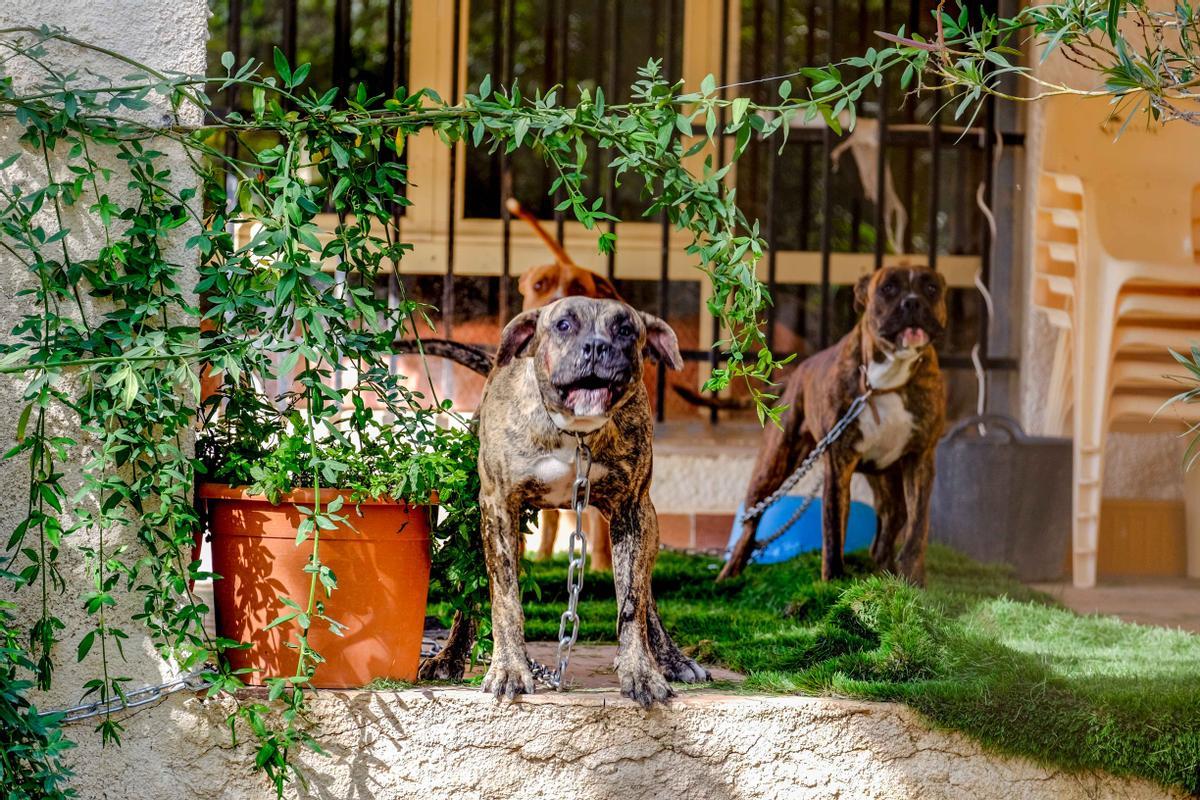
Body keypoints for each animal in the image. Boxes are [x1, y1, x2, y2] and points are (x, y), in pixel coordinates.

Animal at [470, 296, 705, 705]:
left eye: (625, 330)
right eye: (564, 325)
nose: (596, 346)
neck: (574, 432)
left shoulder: (633, 510)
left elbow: (632, 602)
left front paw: (641, 672)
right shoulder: (498, 507)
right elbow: (506, 597)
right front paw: (510, 668)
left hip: (649, 527)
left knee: (647, 597)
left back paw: (671, 659)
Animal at [720, 266, 945, 585]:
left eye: (931, 288)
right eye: (888, 288)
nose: (912, 302)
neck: (885, 379)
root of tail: (797, 373)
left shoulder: (920, 458)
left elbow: (917, 528)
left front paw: (913, 580)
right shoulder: (838, 463)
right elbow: (833, 526)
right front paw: (834, 580)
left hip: (884, 474)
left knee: (892, 519)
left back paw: (885, 569)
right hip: (772, 465)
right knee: (751, 522)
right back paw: (729, 573)